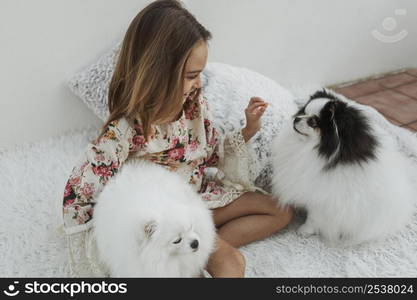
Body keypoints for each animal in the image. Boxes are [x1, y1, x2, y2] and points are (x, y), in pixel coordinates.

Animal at [272, 90, 414, 245]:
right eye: (303, 112)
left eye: (312, 122)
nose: (296, 119)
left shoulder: (322, 199)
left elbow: (313, 217)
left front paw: (304, 230)